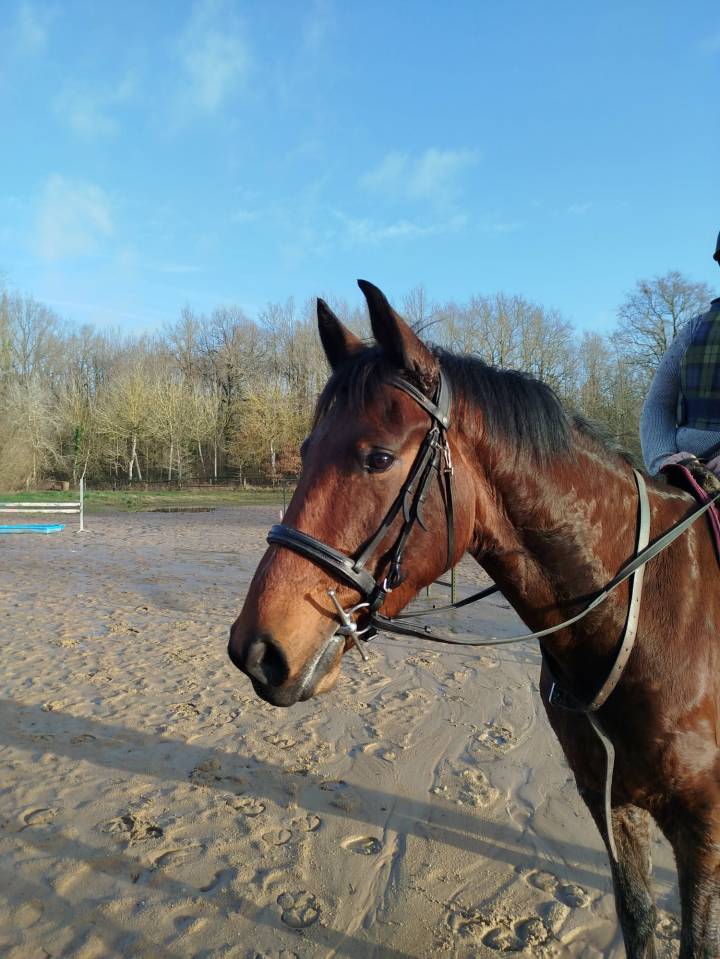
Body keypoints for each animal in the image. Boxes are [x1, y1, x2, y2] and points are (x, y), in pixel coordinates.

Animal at [228, 280, 720, 958]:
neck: (643, 617)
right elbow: (640, 918)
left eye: (378, 458)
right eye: (304, 451)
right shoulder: (609, 798)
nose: (257, 649)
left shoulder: (702, 822)